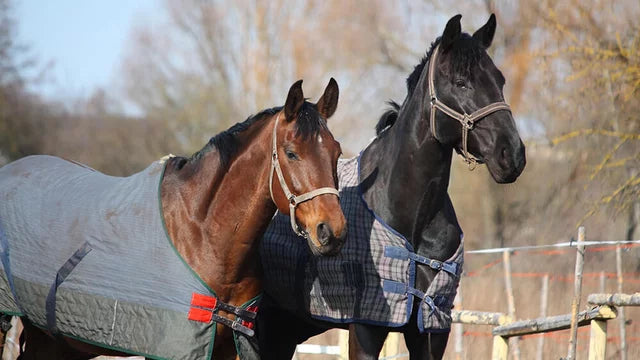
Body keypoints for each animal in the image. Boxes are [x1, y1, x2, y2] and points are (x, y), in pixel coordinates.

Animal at [258, 14, 528, 360]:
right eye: (460, 82)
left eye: (500, 80)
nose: (512, 154)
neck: (411, 216)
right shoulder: (366, 330)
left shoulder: (431, 330)